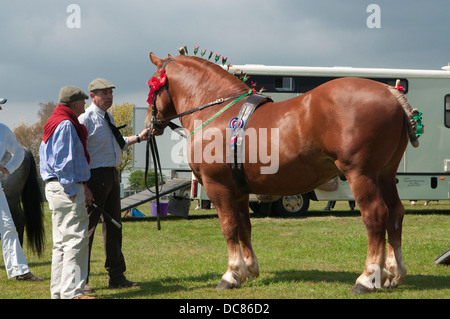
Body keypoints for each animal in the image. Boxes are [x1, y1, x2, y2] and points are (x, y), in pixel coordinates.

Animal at [147, 52, 422, 296]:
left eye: (152, 86)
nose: (151, 122)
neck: (219, 111)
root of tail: (390, 91)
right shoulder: (240, 190)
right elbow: (244, 226)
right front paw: (249, 270)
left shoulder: (219, 186)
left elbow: (229, 226)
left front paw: (231, 274)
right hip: (385, 175)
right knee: (395, 213)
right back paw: (393, 273)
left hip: (361, 174)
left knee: (376, 215)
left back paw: (367, 278)